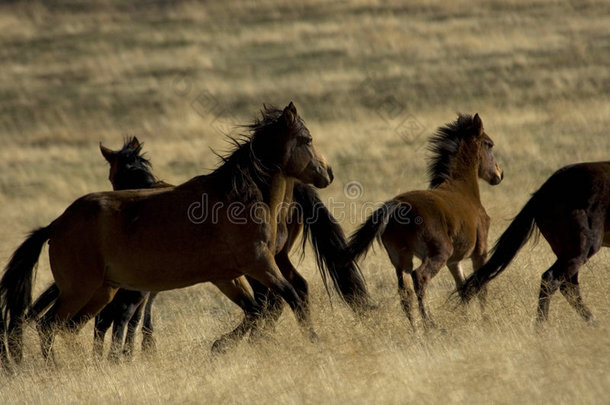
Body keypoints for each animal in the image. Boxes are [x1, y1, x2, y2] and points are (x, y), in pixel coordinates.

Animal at [0, 102, 352, 366]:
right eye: (307, 139)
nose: (328, 173)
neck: (238, 198)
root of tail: (56, 225)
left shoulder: (229, 275)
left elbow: (257, 309)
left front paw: (221, 346)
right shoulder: (258, 264)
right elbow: (288, 298)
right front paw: (314, 341)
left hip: (102, 290)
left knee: (72, 327)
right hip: (79, 289)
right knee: (49, 324)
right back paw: (59, 367)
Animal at [344, 113, 502, 328]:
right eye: (489, 144)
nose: (499, 174)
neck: (464, 190)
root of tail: (398, 205)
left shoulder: (454, 261)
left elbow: (462, 288)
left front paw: (466, 319)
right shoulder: (480, 251)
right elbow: (480, 286)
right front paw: (485, 319)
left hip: (401, 258)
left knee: (405, 291)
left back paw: (416, 329)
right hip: (439, 253)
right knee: (420, 278)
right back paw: (430, 324)